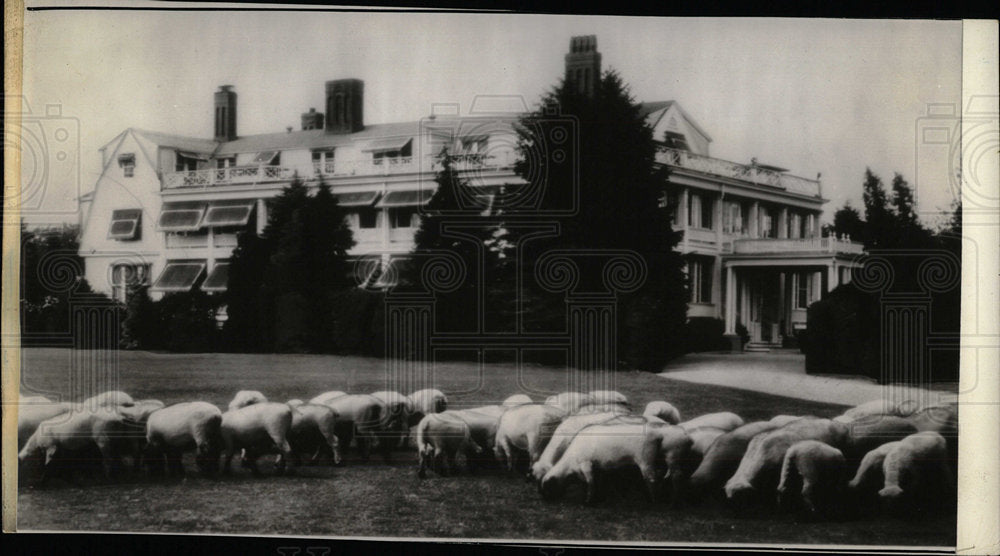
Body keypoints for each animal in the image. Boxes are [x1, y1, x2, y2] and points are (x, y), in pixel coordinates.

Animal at [540, 422, 696, 504]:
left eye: (547, 487)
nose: (546, 500)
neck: (569, 465)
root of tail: (658, 434)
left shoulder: (586, 464)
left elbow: (590, 482)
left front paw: (588, 501)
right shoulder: (596, 467)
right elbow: (595, 482)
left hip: (647, 459)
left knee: (654, 478)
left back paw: (656, 501)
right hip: (668, 458)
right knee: (670, 475)